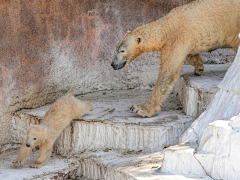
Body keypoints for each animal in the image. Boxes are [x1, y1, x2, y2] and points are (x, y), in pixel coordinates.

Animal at [112, 0, 240, 118]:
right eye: (116, 48)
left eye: (122, 50)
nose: (113, 64)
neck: (167, 26)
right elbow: (188, 55)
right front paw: (198, 67)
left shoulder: (177, 40)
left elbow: (167, 74)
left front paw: (140, 109)